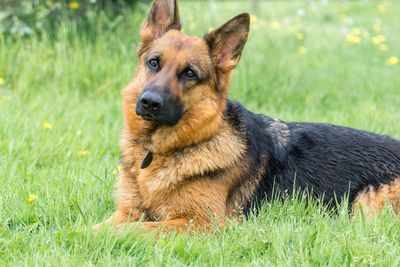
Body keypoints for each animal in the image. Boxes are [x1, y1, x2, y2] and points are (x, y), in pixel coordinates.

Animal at [95, 0, 400, 233]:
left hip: (364, 208)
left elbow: (131, 230)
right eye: (154, 63)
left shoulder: (201, 222)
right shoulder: (126, 211)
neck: (163, 152)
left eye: (189, 74)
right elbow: (100, 225)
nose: (149, 103)